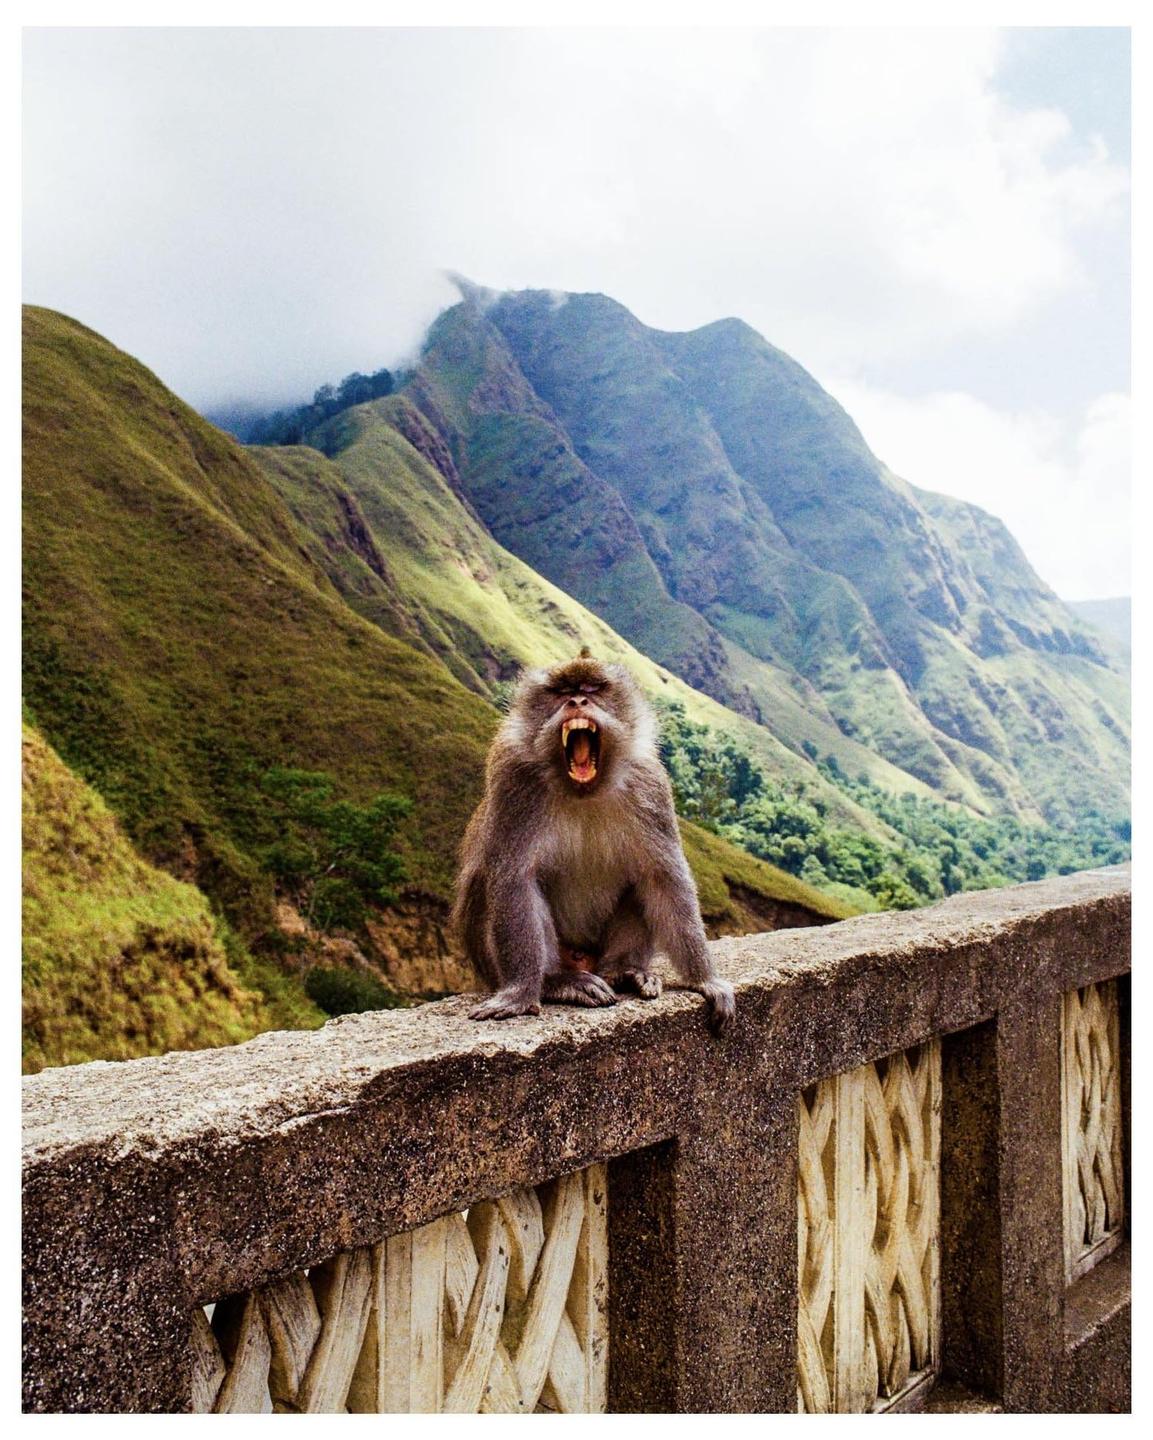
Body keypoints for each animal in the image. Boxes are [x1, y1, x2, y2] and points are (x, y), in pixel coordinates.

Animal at [453, 652, 736, 1036]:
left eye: (591, 689)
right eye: (561, 692)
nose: (576, 702)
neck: (584, 791)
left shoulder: (649, 784)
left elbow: (664, 879)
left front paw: (706, 980)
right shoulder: (514, 781)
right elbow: (514, 881)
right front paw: (520, 994)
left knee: (641, 885)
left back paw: (624, 971)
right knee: (494, 886)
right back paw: (557, 982)